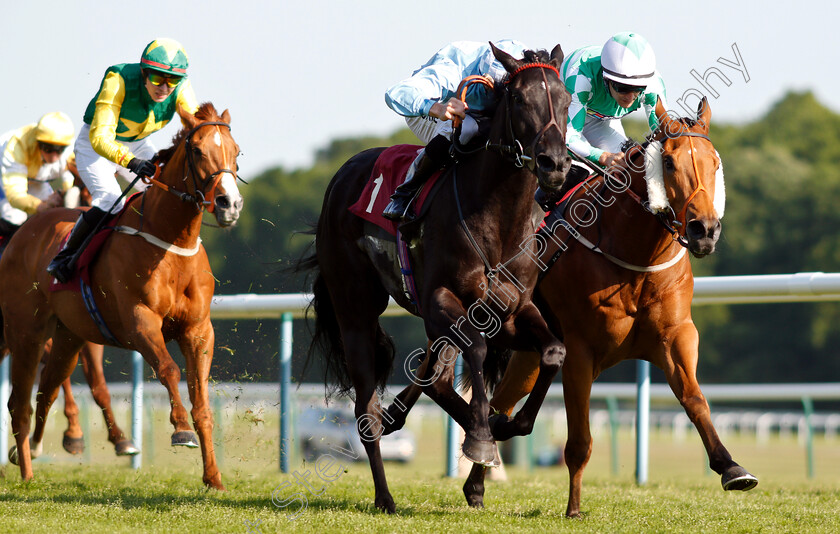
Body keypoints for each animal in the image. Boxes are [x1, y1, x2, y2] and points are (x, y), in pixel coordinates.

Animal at [0, 102, 243, 492]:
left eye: (236, 151)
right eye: (196, 150)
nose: (229, 203)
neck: (171, 243)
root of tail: (24, 232)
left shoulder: (198, 330)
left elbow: (201, 400)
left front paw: (214, 478)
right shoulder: (138, 320)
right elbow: (168, 369)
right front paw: (180, 430)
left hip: (67, 337)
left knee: (46, 390)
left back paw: (37, 449)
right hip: (25, 333)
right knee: (19, 403)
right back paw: (26, 471)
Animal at [306, 44, 576, 512]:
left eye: (565, 100)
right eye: (519, 99)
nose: (555, 163)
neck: (498, 220)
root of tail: (341, 176)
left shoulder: (513, 310)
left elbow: (553, 352)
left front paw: (503, 430)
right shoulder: (441, 299)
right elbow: (479, 354)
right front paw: (483, 437)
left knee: (435, 378)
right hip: (355, 310)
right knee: (366, 412)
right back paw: (386, 494)